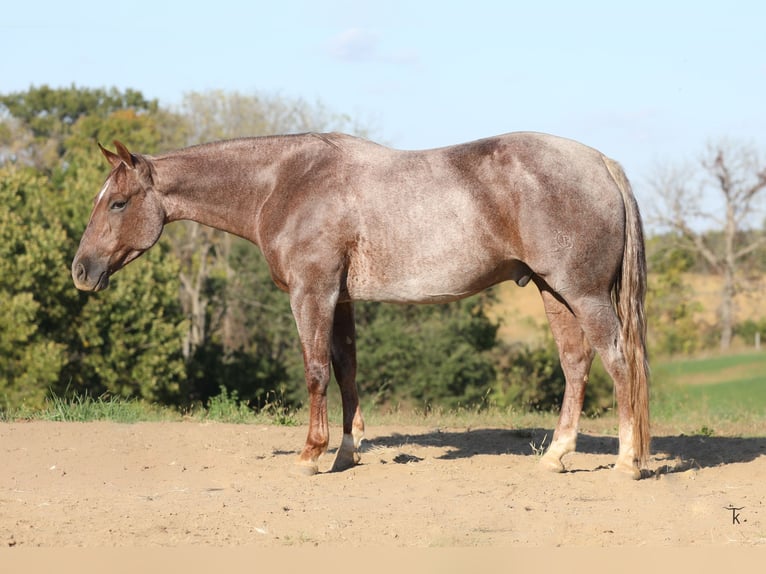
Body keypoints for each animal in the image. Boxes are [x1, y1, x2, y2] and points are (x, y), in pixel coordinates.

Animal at [71, 131, 650, 478]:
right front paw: (347, 450)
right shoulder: (341, 300)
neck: (286, 183)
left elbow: (314, 371)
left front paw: (310, 454)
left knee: (618, 362)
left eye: (117, 203)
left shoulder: (312, 293)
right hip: (555, 292)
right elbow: (346, 369)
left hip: (582, 293)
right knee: (576, 364)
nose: (81, 270)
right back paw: (556, 457)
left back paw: (628, 462)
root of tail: (600, 162)